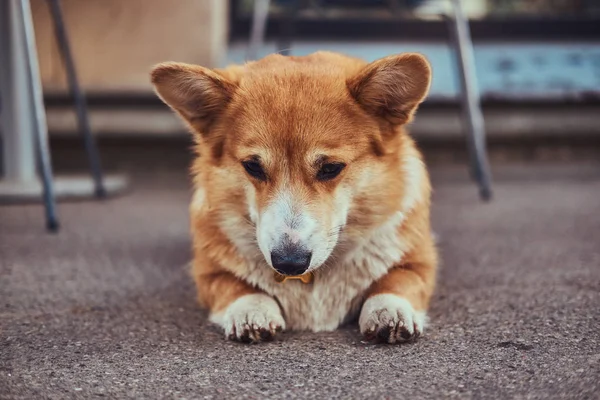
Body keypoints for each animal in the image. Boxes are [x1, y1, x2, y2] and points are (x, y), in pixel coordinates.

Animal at [152, 50, 438, 344]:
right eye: (252, 166)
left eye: (330, 168)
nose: (289, 264)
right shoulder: (209, 273)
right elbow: (235, 286)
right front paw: (251, 311)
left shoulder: (419, 262)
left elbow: (397, 280)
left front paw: (389, 310)